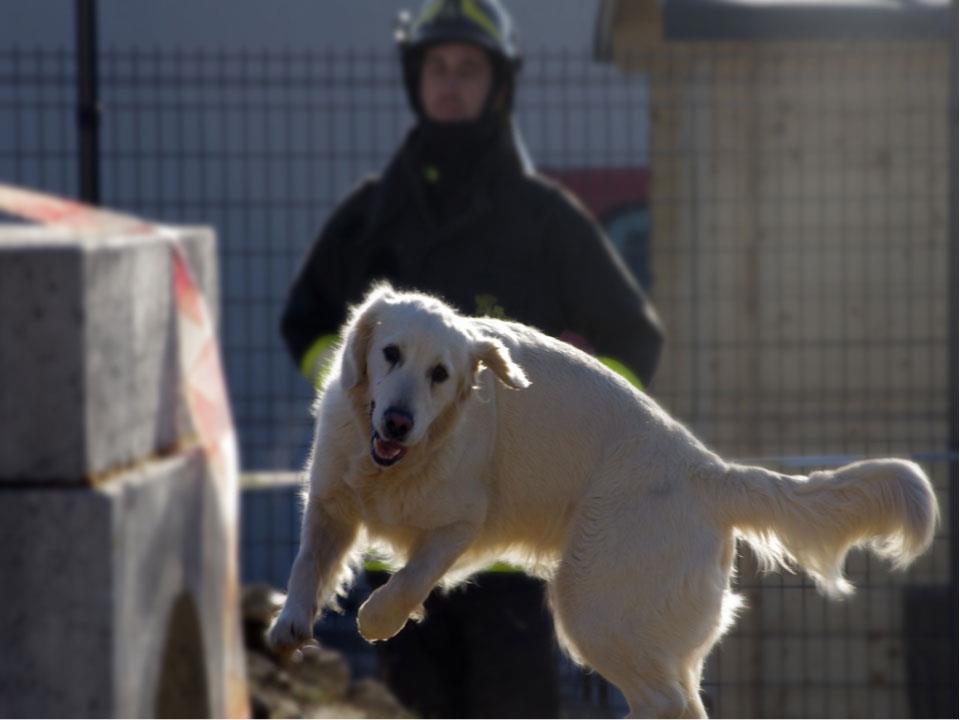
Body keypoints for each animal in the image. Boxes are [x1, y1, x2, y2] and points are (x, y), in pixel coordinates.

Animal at [268, 284, 936, 716]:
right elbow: (307, 562)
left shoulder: (461, 524)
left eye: (441, 374)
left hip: (594, 604)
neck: (402, 463)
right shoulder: (330, 501)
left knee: (665, 705)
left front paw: (380, 616)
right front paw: (290, 622)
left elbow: (412, 576)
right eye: (390, 354)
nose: (398, 423)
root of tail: (708, 471)